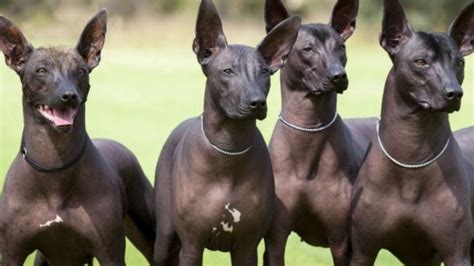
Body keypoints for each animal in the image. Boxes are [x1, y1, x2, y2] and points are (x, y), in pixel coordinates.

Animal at [350, 1, 472, 264]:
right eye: (420, 61)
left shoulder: (457, 253)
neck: (412, 154)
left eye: (460, 63)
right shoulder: (363, 251)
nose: (455, 93)